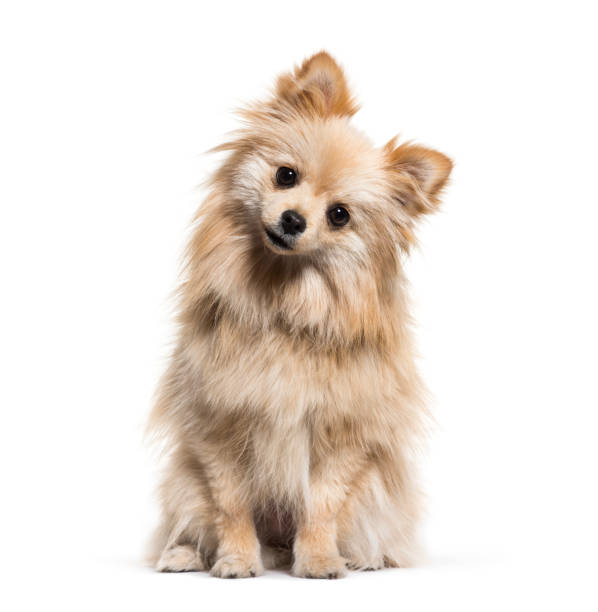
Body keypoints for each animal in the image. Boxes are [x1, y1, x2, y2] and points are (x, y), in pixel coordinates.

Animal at [148, 49, 452, 580]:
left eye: (339, 215)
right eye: (285, 175)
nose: (293, 220)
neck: (282, 298)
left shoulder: (343, 435)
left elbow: (322, 506)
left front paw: (319, 560)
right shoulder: (218, 426)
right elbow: (230, 505)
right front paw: (235, 560)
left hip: (378, 489)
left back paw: (362, 559)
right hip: (183, 478)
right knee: (194, 521)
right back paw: (185, 555)